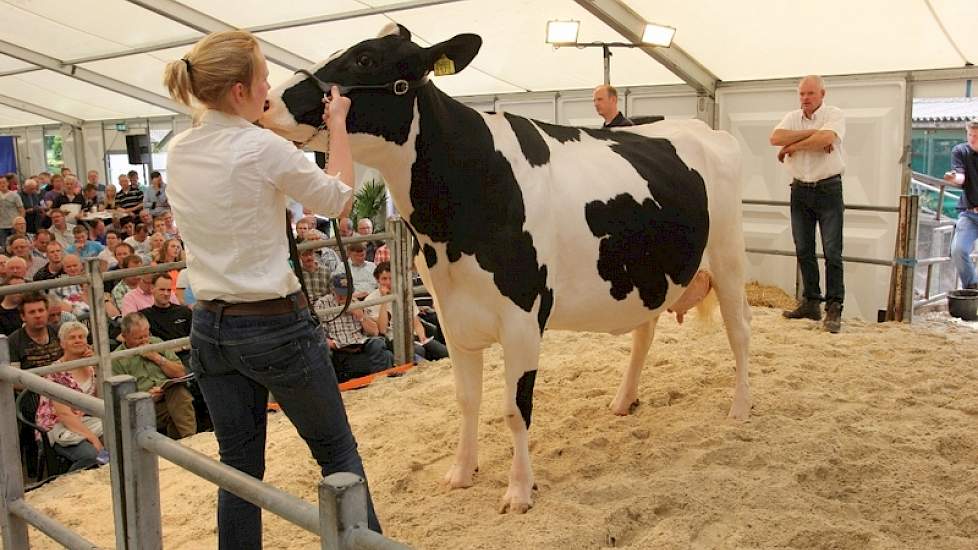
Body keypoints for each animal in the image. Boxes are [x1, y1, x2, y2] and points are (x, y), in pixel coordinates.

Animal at [260, 23, 748, 516]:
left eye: (365, 59)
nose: (267, 101)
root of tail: (703, 128)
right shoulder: (450, 313)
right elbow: (466, 400)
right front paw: (460, 473)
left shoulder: (523, 317)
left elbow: (516, 409)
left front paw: (518, 491)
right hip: (647, 274)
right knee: (644, 332)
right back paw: (623, 401)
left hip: (729, 258)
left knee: (740, 332)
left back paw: (739, 413)